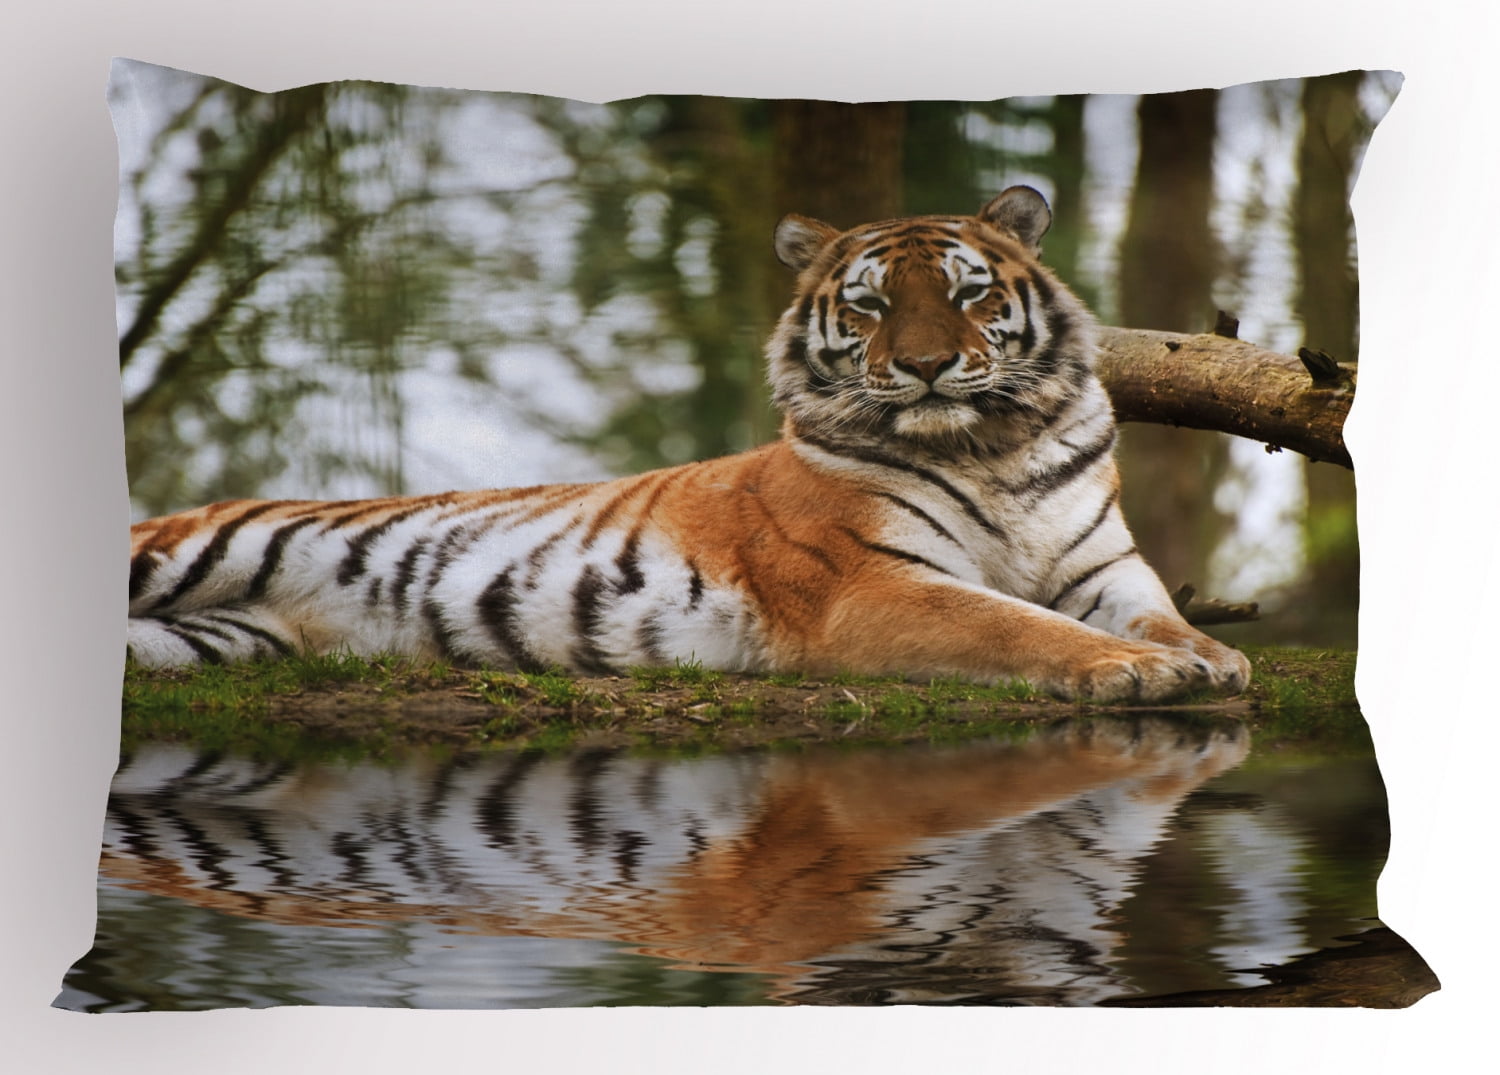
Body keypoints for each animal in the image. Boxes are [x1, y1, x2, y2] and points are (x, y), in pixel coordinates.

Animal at [126, 186, 1250, 702]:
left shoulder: (1104, 567)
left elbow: (1158, 614)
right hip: (180, 553)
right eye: (872, 304)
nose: (928, 365)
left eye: (968, 294)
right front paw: (1136, 670)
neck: (993, 448)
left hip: (219, 639)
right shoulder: (872, 585)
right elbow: (1015, 625)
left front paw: (1212, 656)